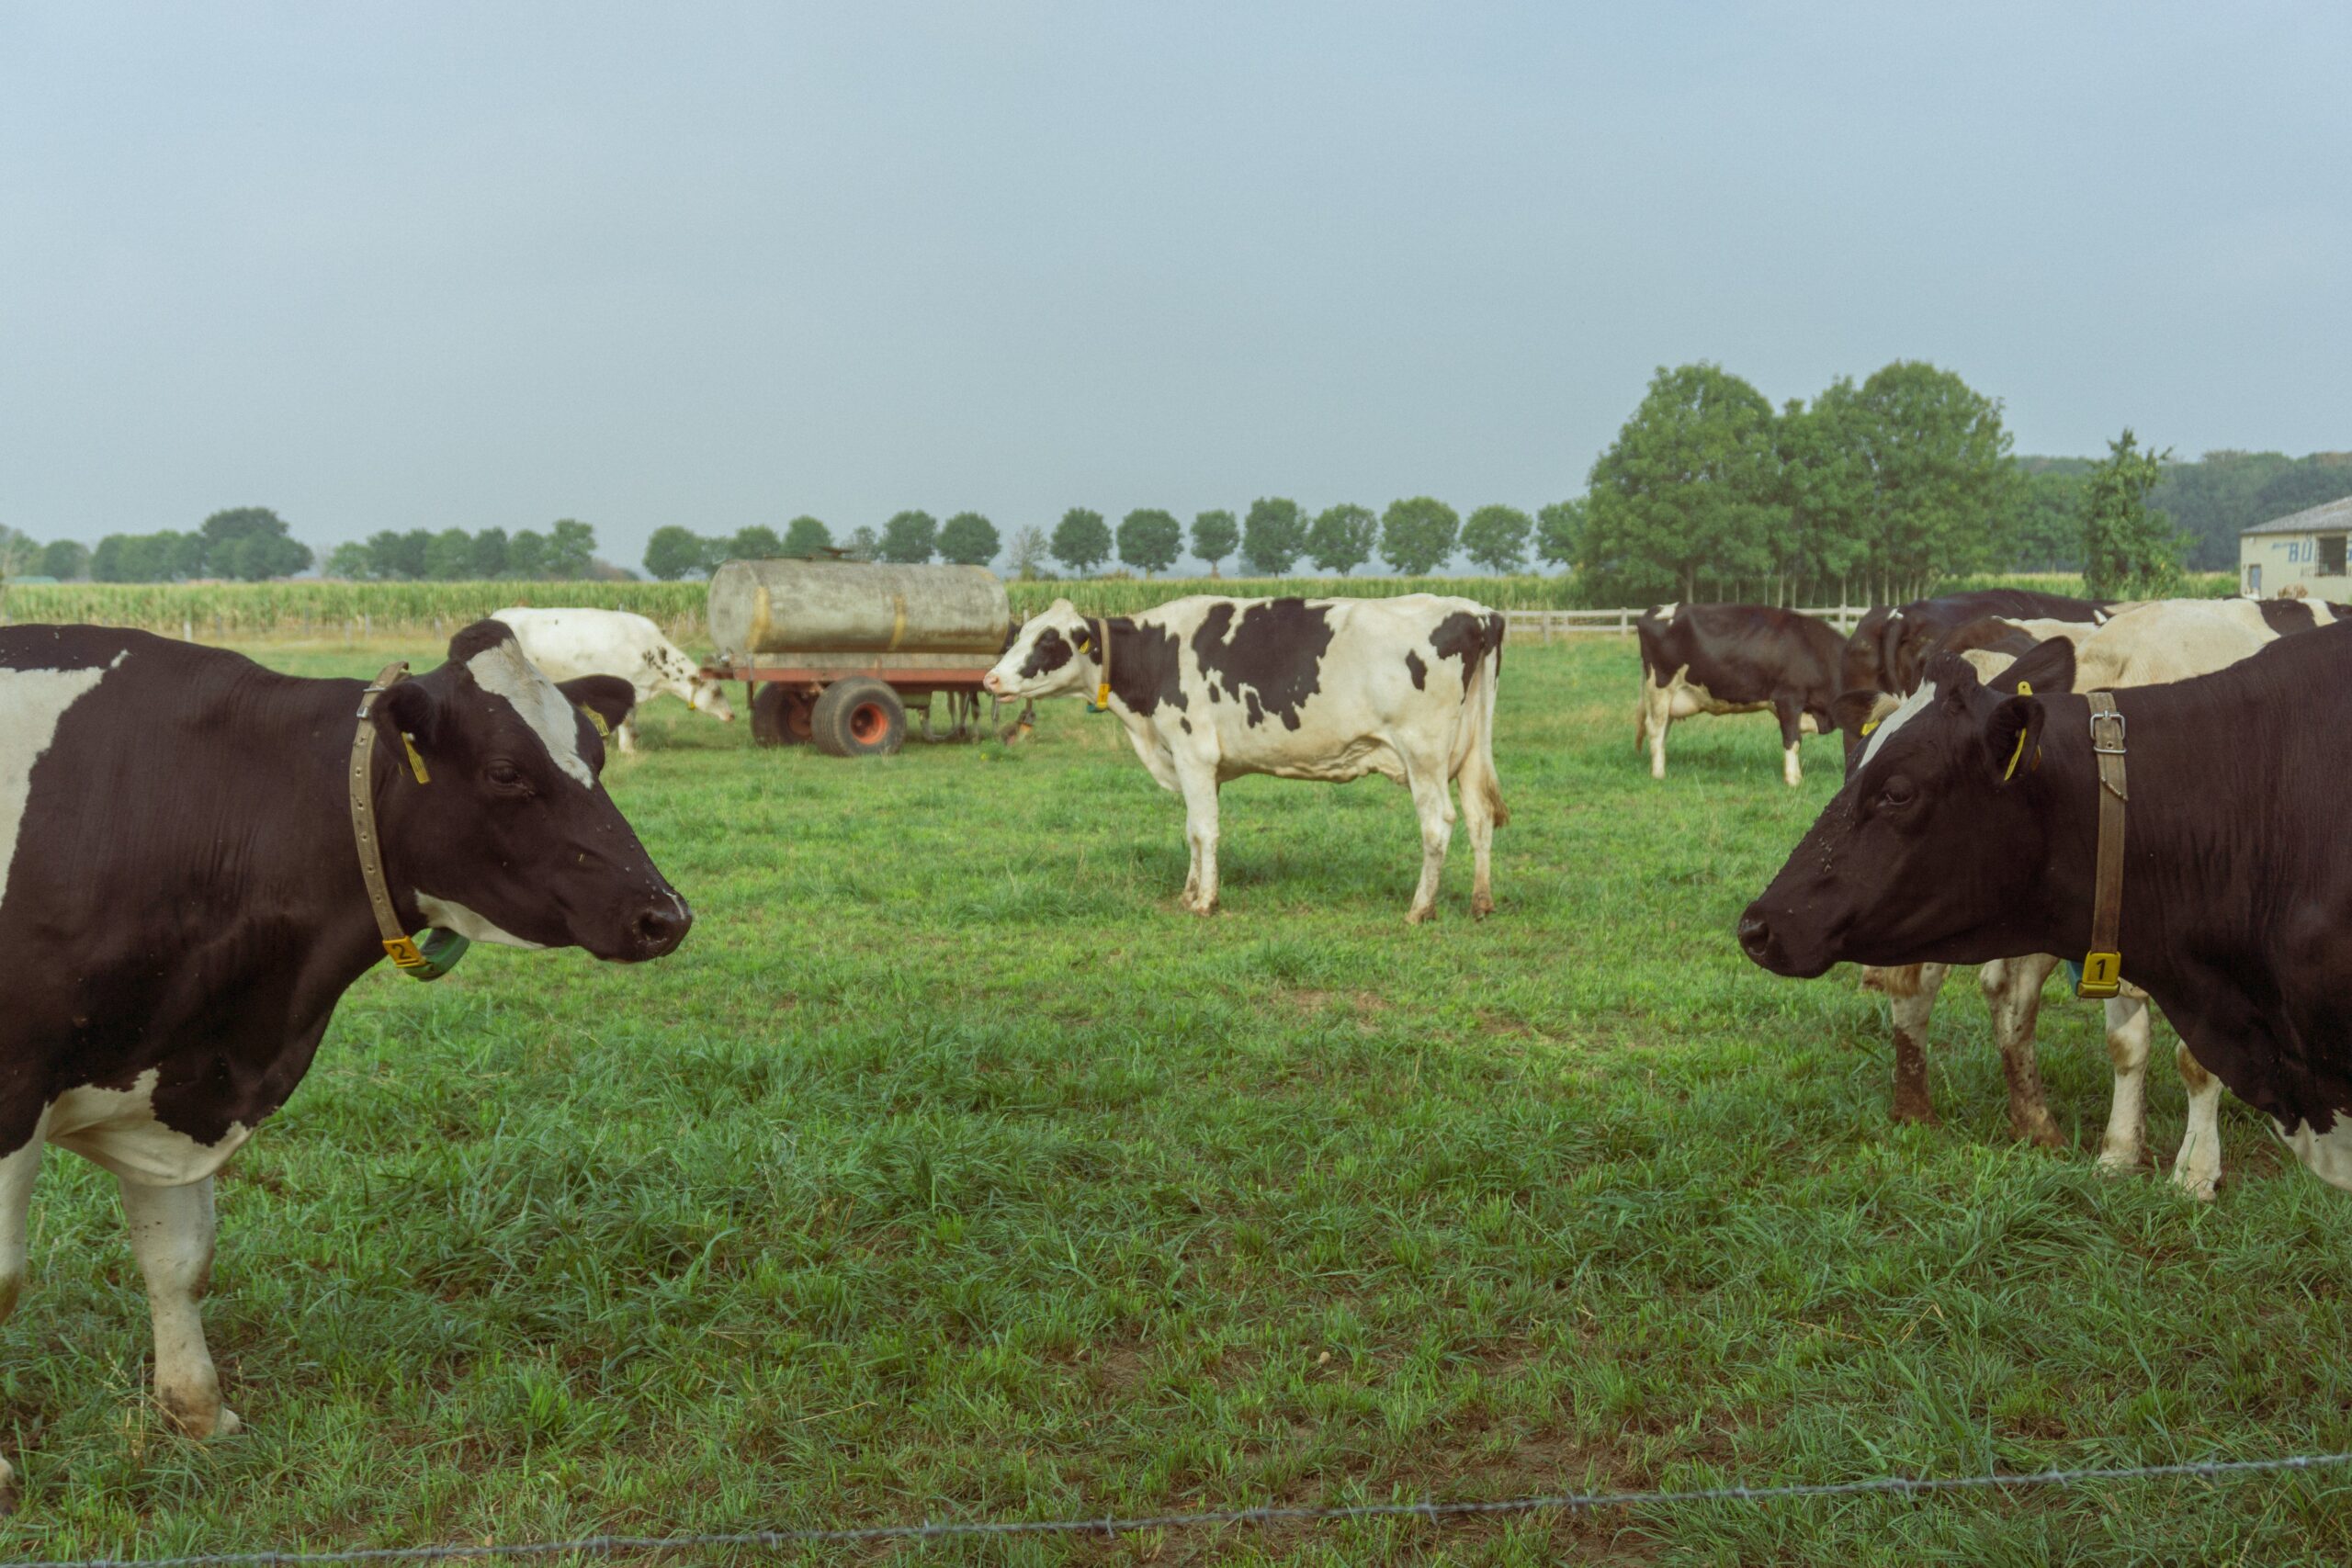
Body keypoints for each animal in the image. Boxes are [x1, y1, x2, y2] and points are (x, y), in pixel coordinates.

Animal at [0, 620, 686, 1495]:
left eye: (595, 756)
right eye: (506, 771)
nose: (665, 914)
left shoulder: (174, 1082)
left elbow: (179, 1259)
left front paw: (198, 1414)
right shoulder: (13, 1088)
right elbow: (5, 1279)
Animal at [978, 597, 1505, 921]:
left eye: (1048, 640)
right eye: (1019, 633)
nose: (991, 679)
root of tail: (1478, 612)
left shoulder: (1193, 752)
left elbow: (1205, 831)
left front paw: (1205, 902)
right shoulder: (1196, 764)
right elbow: (1193, 830)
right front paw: (1189, 891)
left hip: (1423, 753)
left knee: (1438, 823)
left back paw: (1420, 908)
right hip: (1471, 750)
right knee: (1479, 817)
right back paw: (1480, 903)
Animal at [1627, 611, 1844, 789]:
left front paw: (1797, 777)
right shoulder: (1788, 699)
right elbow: (1793, 740)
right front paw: (1793, 780)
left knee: (1663, 730)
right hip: (1660, 689)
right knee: (1655, 729)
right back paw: (1659, 774)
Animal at [1740, 620, 2352, 1194]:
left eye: (1897, 791)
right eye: (1851, 766)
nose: (1754, 926)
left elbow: (2188, 1063)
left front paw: (2193, 1173)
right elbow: (2127, 1045)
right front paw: (2121, 1153)